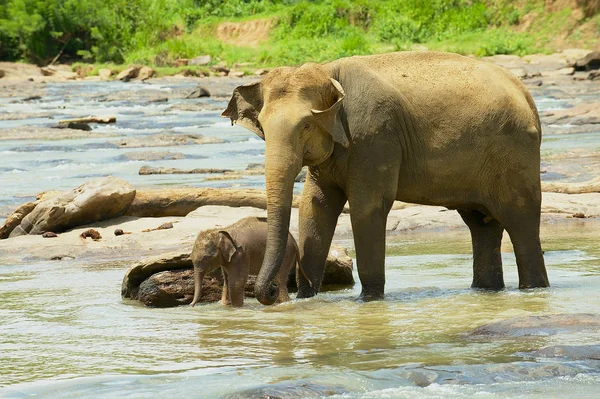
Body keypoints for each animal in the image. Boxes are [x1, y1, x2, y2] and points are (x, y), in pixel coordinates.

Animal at [221, 50, 548, 306]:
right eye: (262, 127)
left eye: (306, 125)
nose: (274, 290)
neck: (329, 71)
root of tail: (527, 96)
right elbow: (316, 207)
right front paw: (306, 298)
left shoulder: (374, 138)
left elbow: (368, 207)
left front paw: (368, 300)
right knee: (481, 224)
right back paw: (486, 291)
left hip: (516, 154)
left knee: (520, 221)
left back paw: (534, 289)